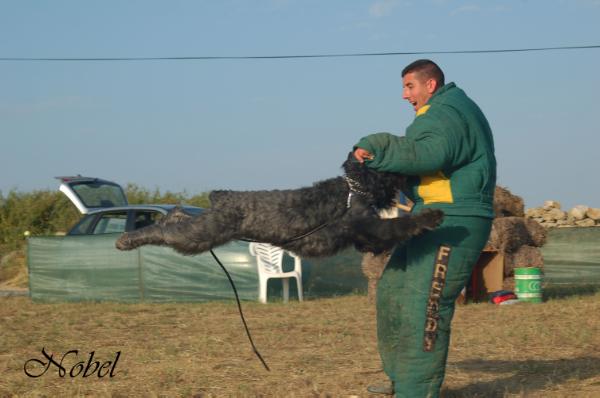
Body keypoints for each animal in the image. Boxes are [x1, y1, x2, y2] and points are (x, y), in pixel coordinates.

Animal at [115, 152, 442, 258]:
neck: (354, 188)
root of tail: (221, 196)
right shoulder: (368, 226)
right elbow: (399, 224)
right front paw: (431, 217)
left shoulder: (364, 238)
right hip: (200, 235)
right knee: (164, 231)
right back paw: (126, 239)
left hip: (202, 231)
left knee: (175, 218)